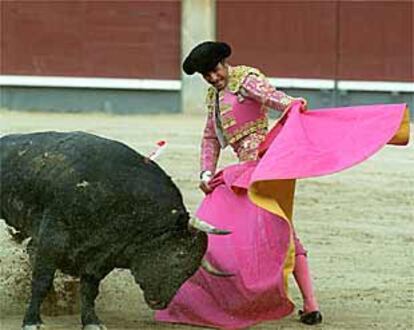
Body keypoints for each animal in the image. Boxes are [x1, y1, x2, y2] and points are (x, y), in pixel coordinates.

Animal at [0, 132, 228, 330]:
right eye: (179, 255)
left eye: (191, 271)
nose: (160, 303)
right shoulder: (52, 238)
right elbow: (42, 280)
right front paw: (31, 321)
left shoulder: (103, 255)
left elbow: (89, 289)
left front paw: (91, 321)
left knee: (31, 249)